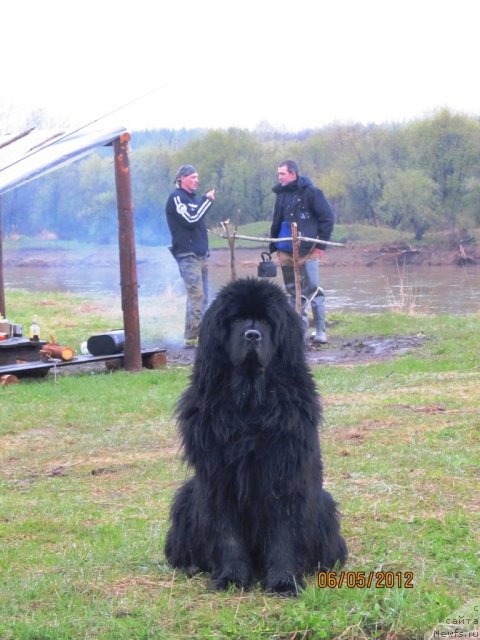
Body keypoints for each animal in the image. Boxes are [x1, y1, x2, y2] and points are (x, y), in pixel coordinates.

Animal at [164, 278, 344, 596]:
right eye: (236, 320)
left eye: (267, 321)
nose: (252, 334)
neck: (249, 400)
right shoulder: (219, 480)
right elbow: (227, 534)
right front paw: (232, 577)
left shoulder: (283, 475)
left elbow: (284, 533)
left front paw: (284, 581)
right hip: (187, 497)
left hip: (323, 504)